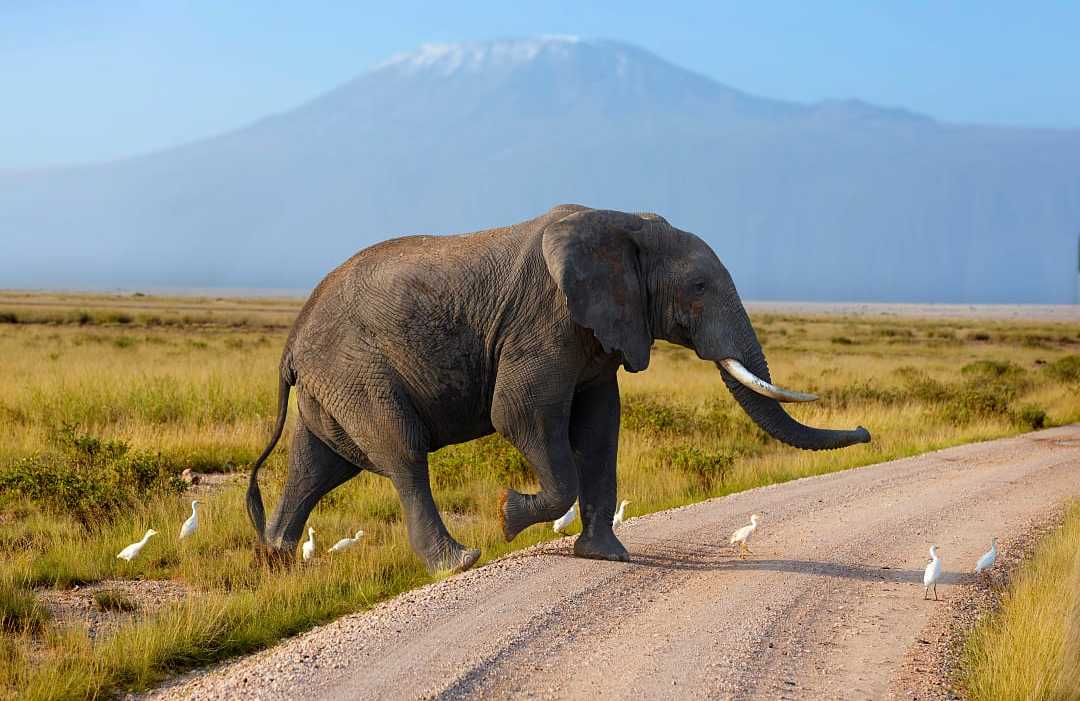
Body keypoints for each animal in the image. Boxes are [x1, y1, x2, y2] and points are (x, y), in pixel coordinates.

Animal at [246, 204, 870, 573]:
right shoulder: (544, 320)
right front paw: (509, 516)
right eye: (697, 286)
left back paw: (277, 559)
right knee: (401, 451)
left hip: (332, 384)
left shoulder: (597, 336)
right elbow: (519, 412)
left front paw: (607, 556)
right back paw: (460, 561)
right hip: (356, 367)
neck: (624, 222)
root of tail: (292, 339)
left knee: (318, 464)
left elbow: (599, 428)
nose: (866, 432)